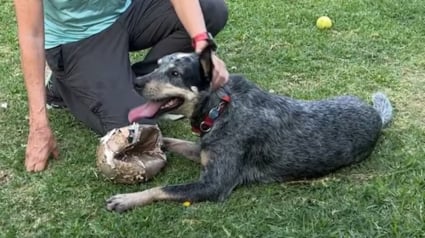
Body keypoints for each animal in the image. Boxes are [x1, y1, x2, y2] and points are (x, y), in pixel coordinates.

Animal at [105, 46, 390, 212]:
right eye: (158, 65)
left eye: (175, 73)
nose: (137, 81)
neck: (219, 109)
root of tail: (376, 114)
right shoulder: (202, 151)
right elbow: (172, 141)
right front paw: (146, 140)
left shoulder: (214, 184)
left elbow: (162, 189)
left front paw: (127, 199)